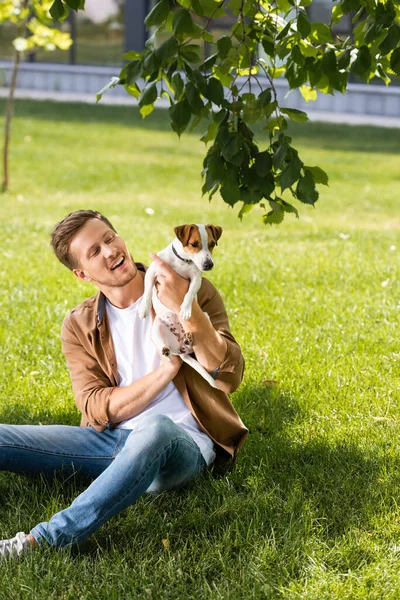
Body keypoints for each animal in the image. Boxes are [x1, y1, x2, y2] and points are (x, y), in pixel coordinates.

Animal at [138, 224, 222, 390]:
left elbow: (189, 293)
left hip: (205, 316)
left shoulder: (196, 278)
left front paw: (185, 309)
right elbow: (147, 290)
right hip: (156, 329)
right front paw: (144, 307)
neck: (184, 261)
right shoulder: (152, 272)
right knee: (169, 355)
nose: (209, 265)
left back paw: (189, 339)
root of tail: (180, 348)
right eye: (194, 244)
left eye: (212, 244)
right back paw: (166, 350)